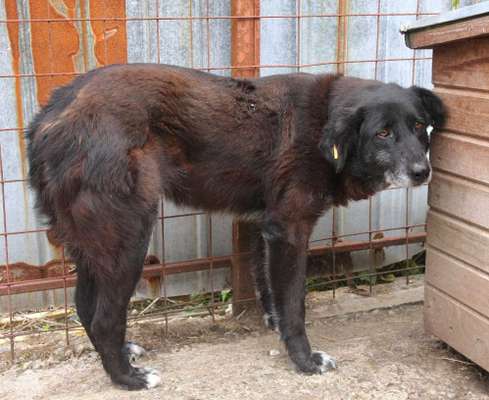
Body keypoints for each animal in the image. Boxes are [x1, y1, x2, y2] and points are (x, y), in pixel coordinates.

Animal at [26, 64, 446, 390]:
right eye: (382, 133)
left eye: (419, 126)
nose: (423, 172)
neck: (325, 126)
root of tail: (50, 115)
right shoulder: (290, 228)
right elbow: (294, 302)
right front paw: (305, 360)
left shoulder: (266, 225)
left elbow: (269, 288)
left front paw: (277, 328)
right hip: (129, 236)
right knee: (103, 317)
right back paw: (128, 379)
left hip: (94, 241)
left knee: (84, 306)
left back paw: (122, 356)